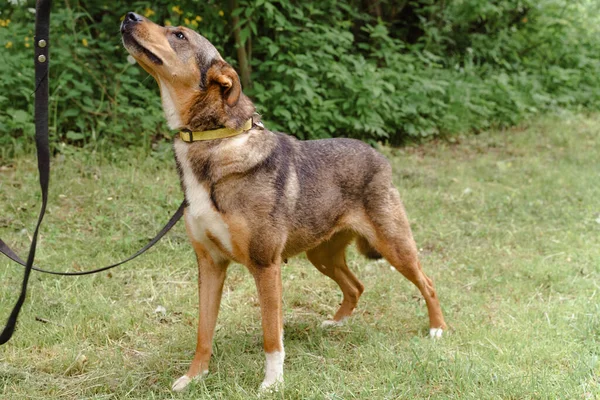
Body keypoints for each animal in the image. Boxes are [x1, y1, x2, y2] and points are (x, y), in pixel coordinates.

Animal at [119, 12, 446, 394]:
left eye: (180, 35)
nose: (129, 16)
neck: (215, 142)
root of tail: (379, 156)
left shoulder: (265, 265)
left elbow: (271, 335)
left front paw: (273, 383)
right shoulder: (210, 264)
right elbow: (203, 332)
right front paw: (194, 377)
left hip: (395, 246)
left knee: (427, 283)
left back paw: (437, 329)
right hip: (322, 254)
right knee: (356, 286)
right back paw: (337, 324)